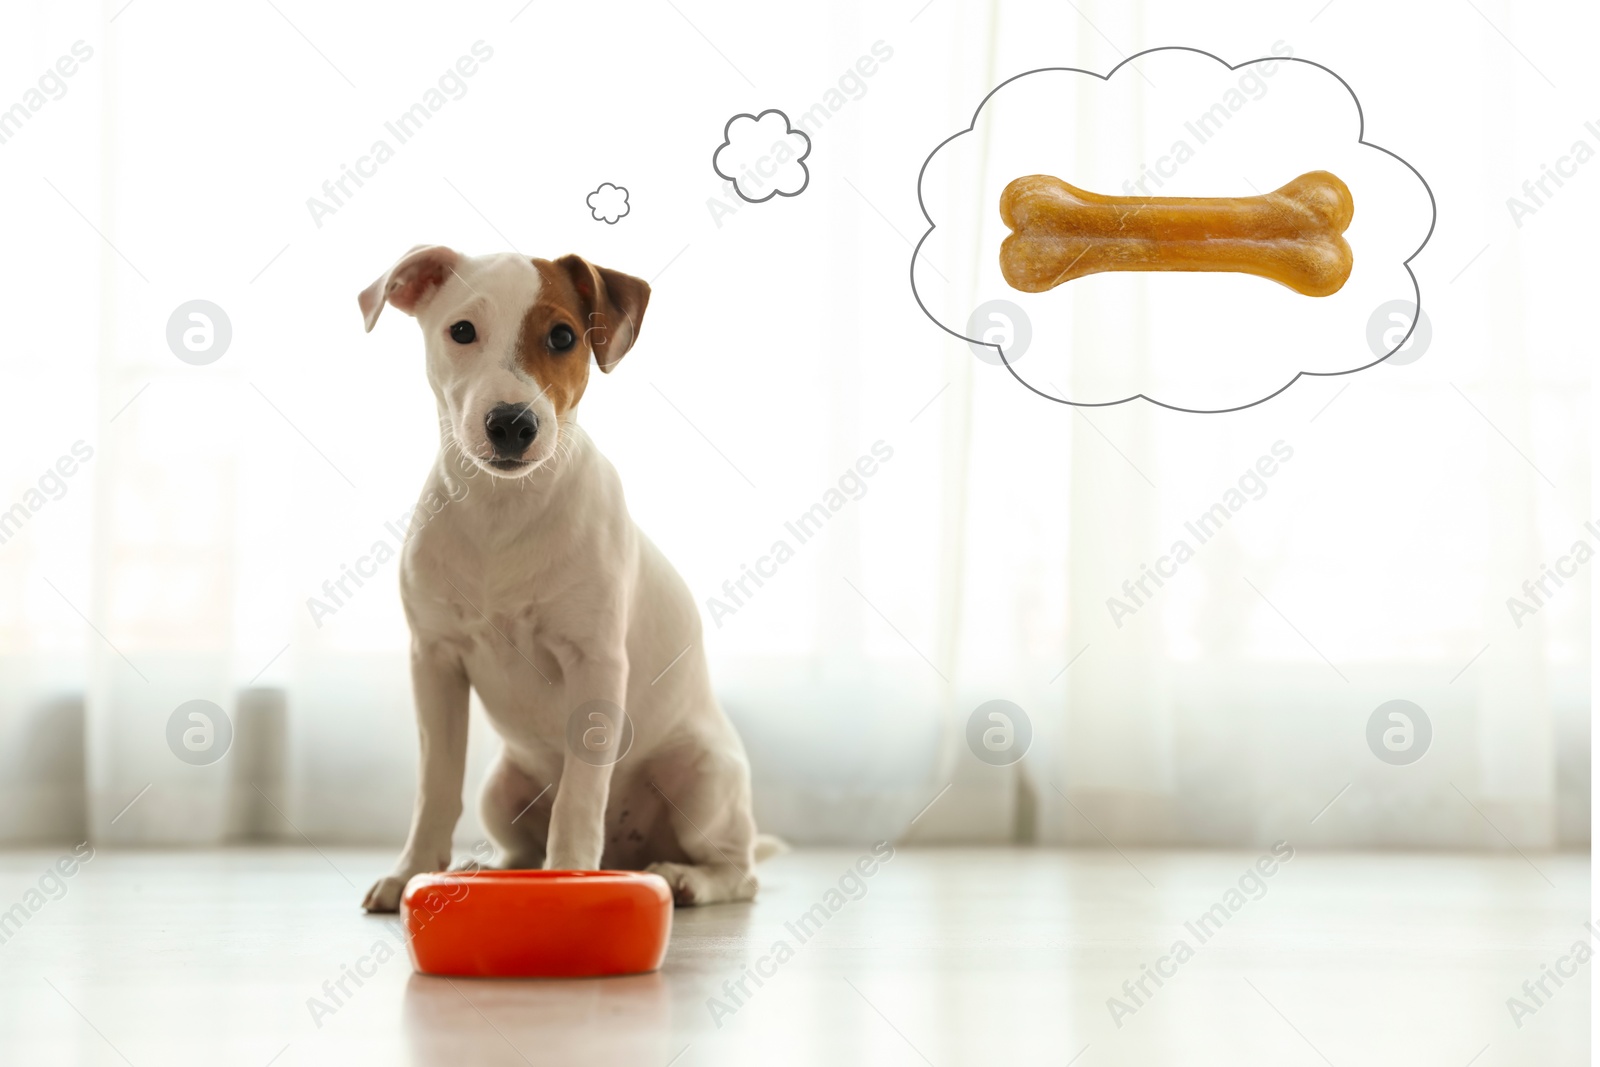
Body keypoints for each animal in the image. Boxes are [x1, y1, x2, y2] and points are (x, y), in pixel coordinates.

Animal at [355, 246, 774, 915]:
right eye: (462, 331)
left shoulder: (595, 664)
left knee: (737, 868)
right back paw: (492, 871)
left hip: (703, 778)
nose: (512, 424)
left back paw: (688, 879)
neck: (503, 510)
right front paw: (412, 872)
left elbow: (580, 799)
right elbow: (435, 786)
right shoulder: (435, 663)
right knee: (520, 850)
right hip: (501, 788)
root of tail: (630, 848)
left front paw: (571, 876)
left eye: (562, 337)